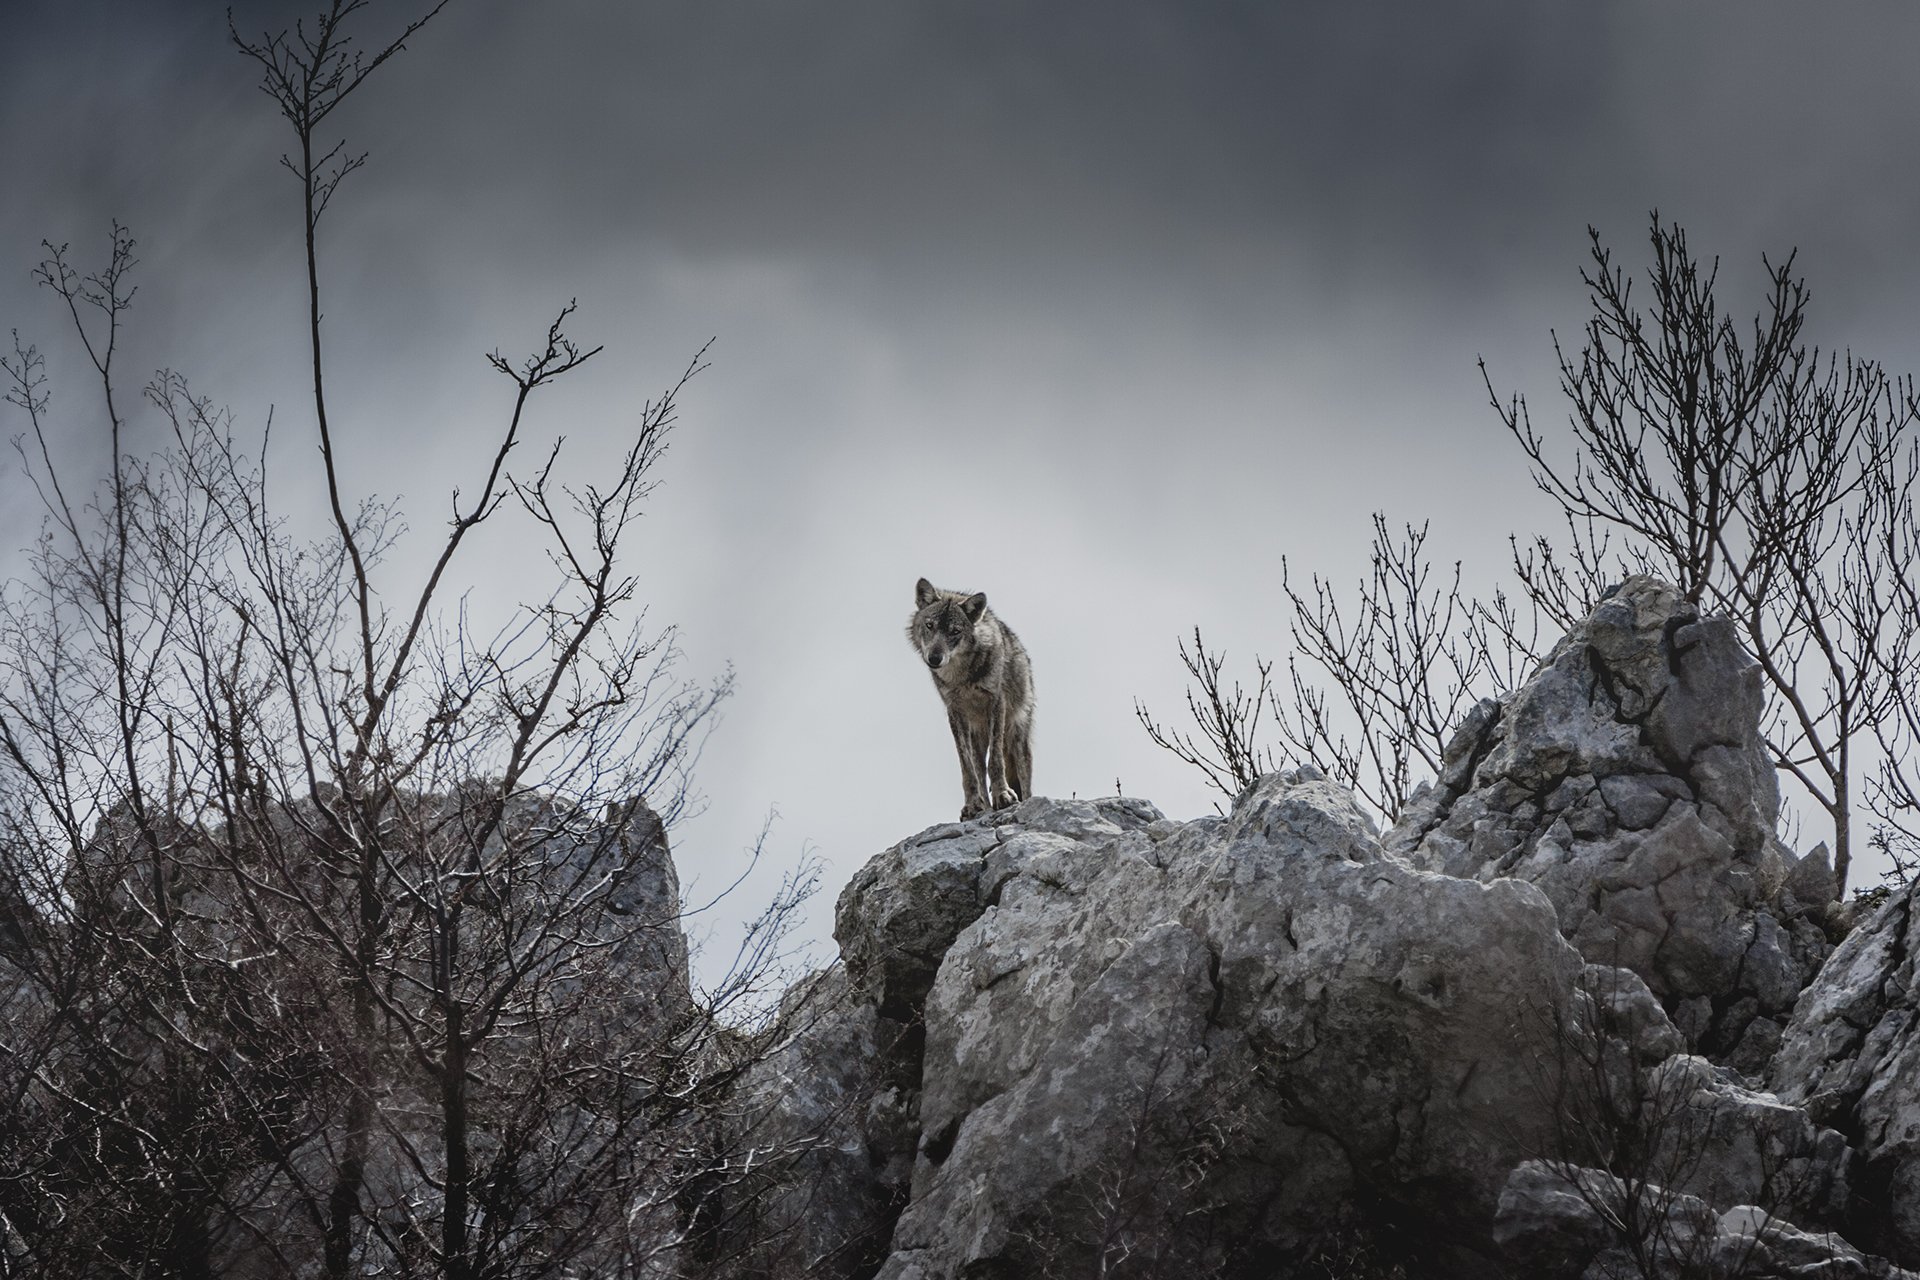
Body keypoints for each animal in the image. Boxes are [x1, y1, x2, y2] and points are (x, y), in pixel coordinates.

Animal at [906, 577, 1035, 820]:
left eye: (955, 631)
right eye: (930, 625)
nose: (934, 658)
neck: (962, 676)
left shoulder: (996, 702)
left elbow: (996, 760)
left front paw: (1003, 795)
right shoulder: (955, 711)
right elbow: (967, 768)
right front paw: (973, 805)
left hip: (1017, 737)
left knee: (1024, 781)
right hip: (977, 740)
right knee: (979, 768)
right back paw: (984, 805)